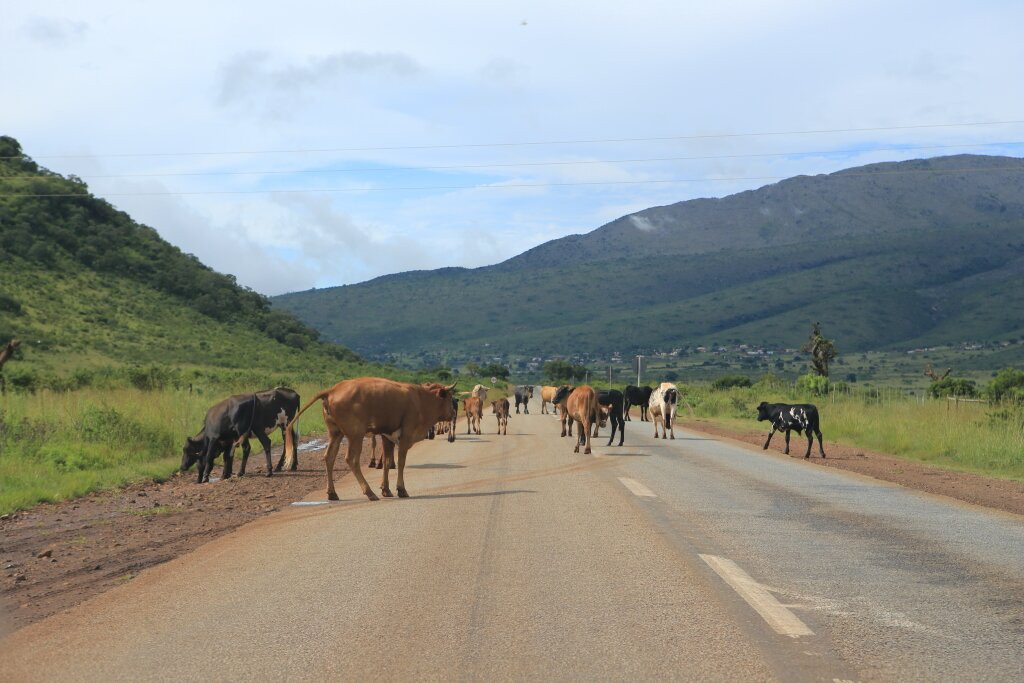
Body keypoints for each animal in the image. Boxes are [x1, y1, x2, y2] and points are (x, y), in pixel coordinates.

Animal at [282, 376, 454, 499]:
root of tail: (333, 389)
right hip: (356, 435)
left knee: (329, 457)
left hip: (336, 433)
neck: (420, 399)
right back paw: (369, 492)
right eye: (450, 398)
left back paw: (332, 493)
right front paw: (401, 489)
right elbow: (400, 463)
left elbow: (387, 462)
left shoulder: (387, 437)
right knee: (351, 460)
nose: (453, 413)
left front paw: (386, 489)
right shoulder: (405, 437)